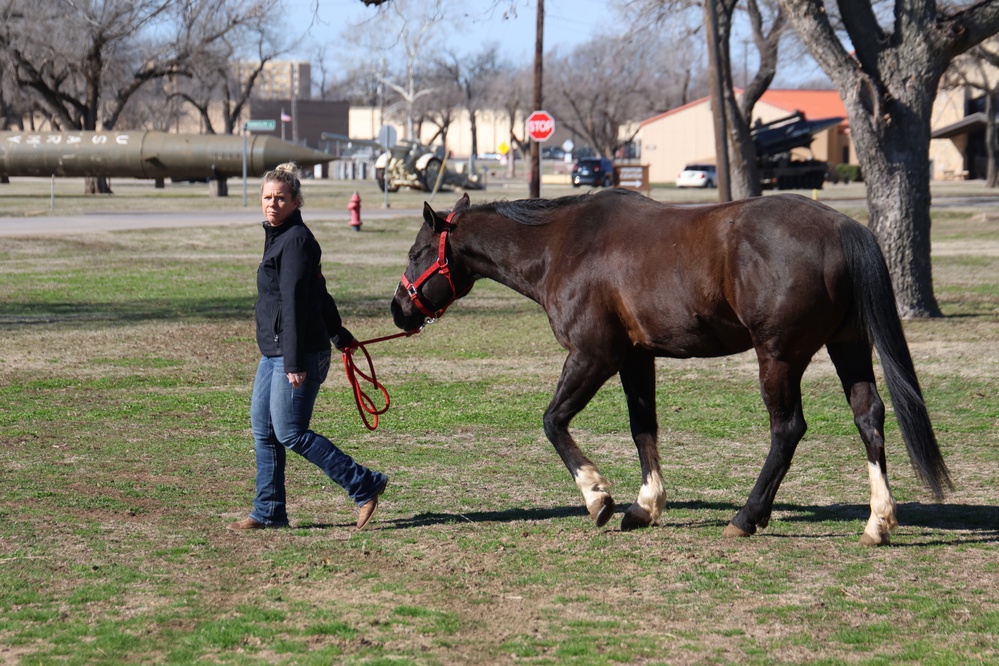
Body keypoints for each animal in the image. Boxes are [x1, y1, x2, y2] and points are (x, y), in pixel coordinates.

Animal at [390, 188, 952, 544]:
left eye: (417, 252)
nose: (398, 309)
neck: (562, 245)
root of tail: (842, 226)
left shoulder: (593, 354)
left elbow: (553, 422)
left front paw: (598, 497)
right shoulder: (637, 357)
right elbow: (644, 428)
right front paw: (645, 505)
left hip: (778, 357)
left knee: (787, 429)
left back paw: (748, 516)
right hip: (848, 346)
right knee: (869, 417)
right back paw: (878, 522)